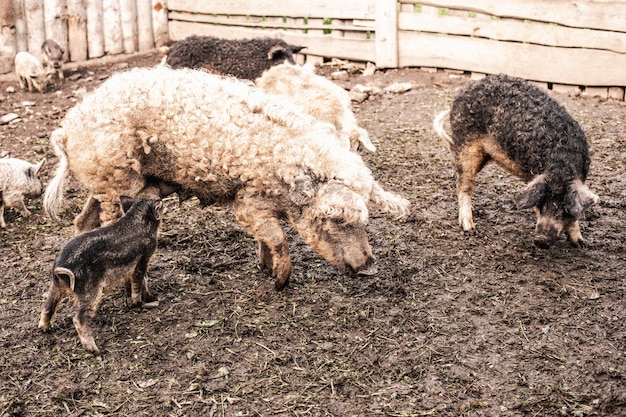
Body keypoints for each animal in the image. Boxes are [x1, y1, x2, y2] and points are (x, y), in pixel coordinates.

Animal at [37, 197, 162, 352]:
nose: (160, 199)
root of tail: (59, 268)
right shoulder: (143, 258)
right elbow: (139, 281)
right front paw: (144, 301)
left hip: (55, 287)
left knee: (47, 307)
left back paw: (45, 329)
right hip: (91, 292)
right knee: (78, 319)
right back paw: (95, 350)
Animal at [432, 73, 596, 247]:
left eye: (564, 207)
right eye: (540, 202)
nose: (541, 239)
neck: (561, 162)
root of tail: (462, 92)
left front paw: (580, 244)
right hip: (466, 148)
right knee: (463, 184)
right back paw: (468, 226)